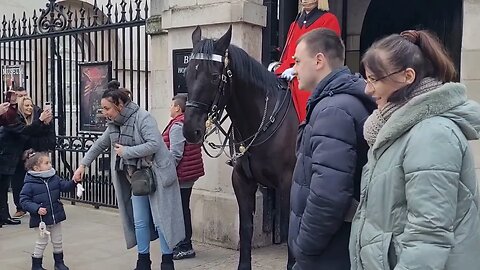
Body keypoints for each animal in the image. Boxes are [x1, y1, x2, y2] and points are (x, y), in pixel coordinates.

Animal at [183, 25, 298, 270]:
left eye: (214, 76)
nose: (190, 130)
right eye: (187, 73)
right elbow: (246, 228)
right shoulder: (242, 180)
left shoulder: (289, 183)